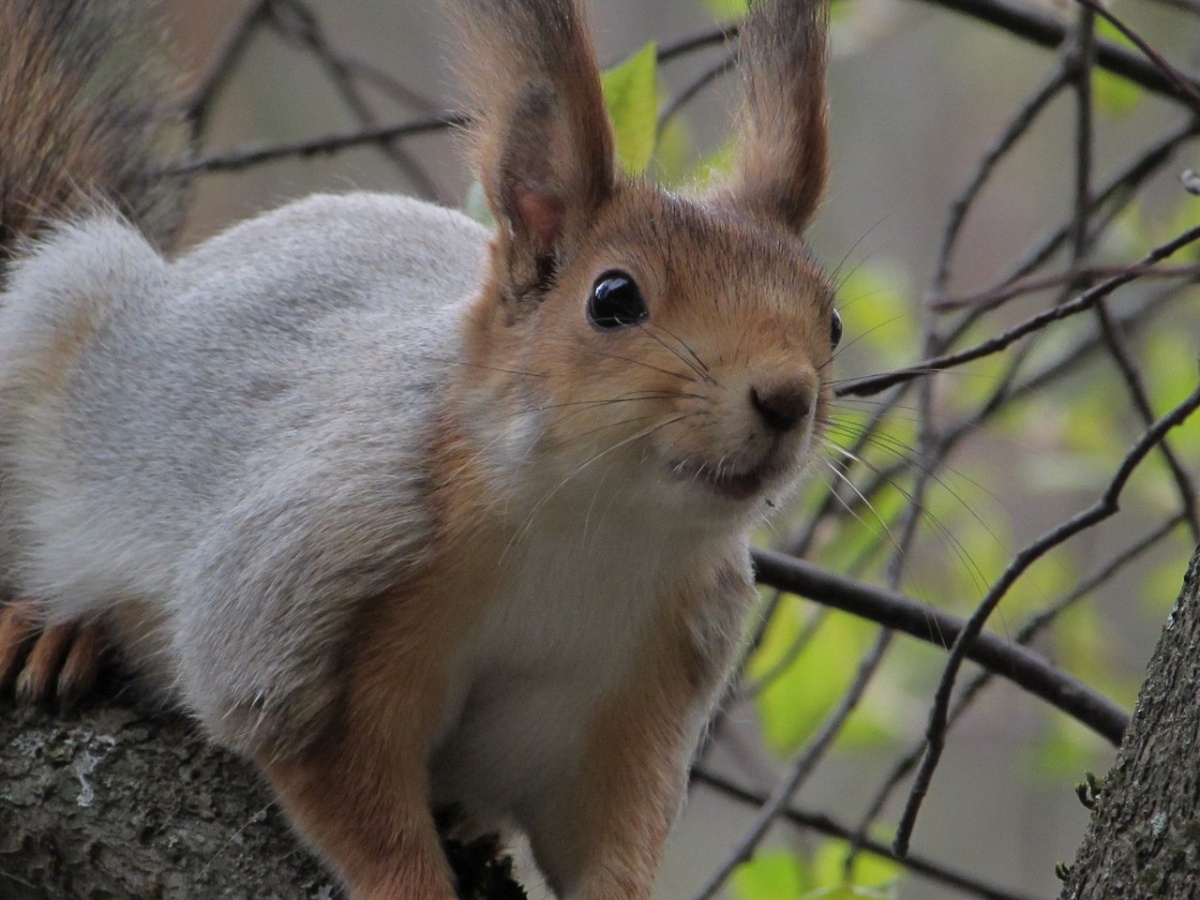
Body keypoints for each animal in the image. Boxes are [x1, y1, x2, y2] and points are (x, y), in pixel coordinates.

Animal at [0, 1, 840, 900]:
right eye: (613, 298)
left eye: (830, 321)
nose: (786, 397)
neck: (594, 530)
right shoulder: (311, 604)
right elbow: (345, 789)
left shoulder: (636, 698)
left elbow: (612, 837)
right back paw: (55, 630)